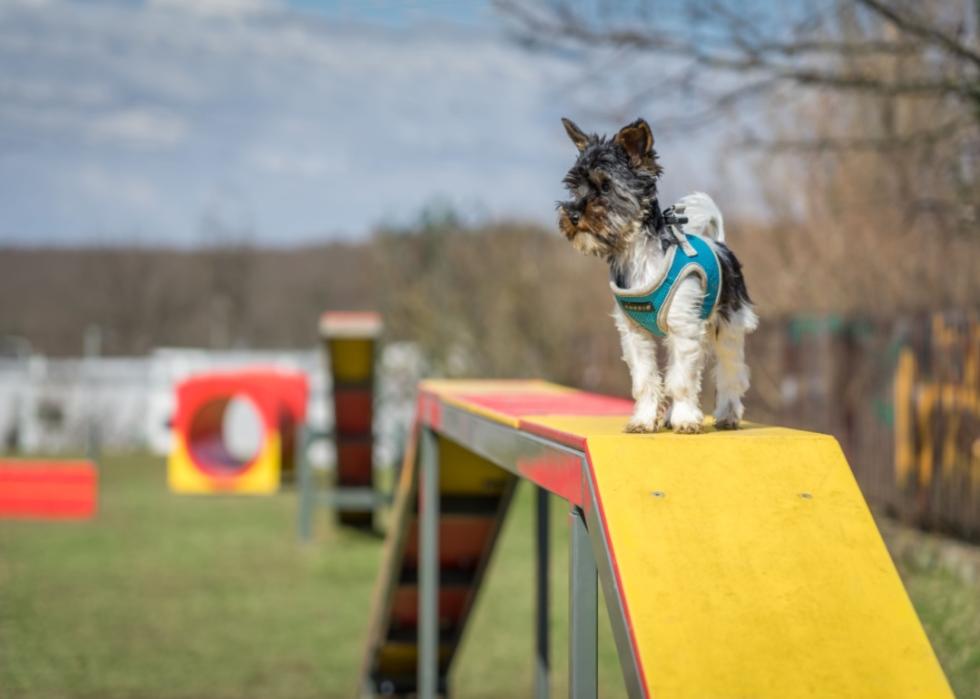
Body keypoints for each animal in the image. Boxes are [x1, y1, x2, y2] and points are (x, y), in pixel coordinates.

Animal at [560, 116, 756, 432]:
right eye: (574, 188)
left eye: (605, 186)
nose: (573, 215)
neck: (637, 253)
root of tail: (721, 245)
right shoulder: (634, 333)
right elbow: (646, 380)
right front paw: (643, 419)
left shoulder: (684, 328)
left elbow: (682, 381)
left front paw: (686, 419)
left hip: (729, 328)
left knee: (730, 373)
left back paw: (726, 415)